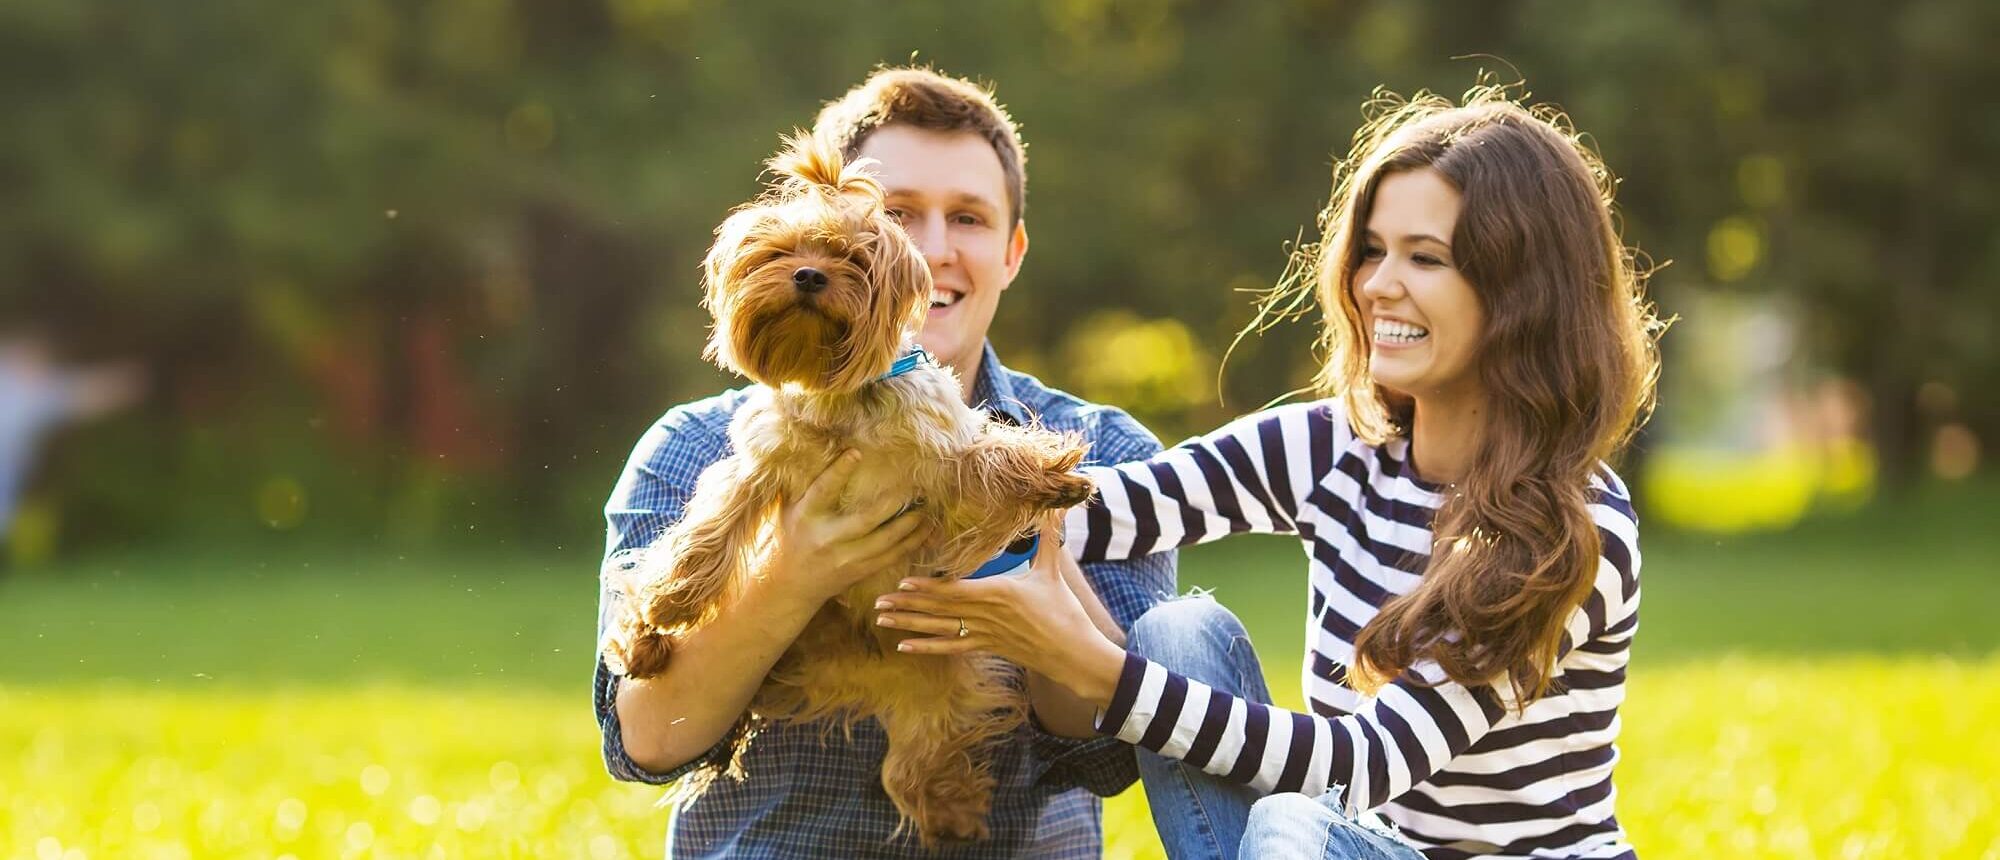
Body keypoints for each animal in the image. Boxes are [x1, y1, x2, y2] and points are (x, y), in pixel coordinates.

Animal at [600, 131, 1096, 844]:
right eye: (780, 253)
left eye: (854, 258)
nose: (809, 275)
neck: (842, 402)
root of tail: (861, 666)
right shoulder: (759, 467)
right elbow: (708, 531)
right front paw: (671, 600)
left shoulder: (942, 462)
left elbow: (989, 457)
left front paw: (1051, 477)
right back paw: (643, 640)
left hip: (935, 688)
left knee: (918, 762)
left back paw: (953, 812)